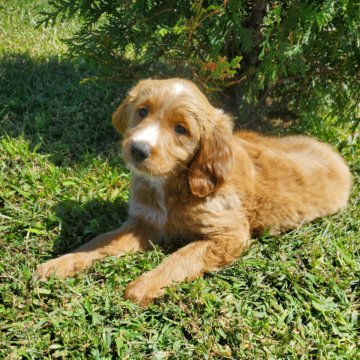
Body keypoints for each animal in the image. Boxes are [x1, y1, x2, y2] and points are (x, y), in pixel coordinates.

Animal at [35, 77, 352, 306]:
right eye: (142, 112)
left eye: (181, 129)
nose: (137, 149)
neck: (171, 185)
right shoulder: (144, 223)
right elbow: (100, 241)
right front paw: (60, 264)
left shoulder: (229, 234)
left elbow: (182, 256)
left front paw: (143, 285)